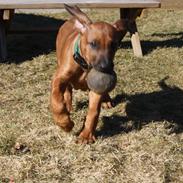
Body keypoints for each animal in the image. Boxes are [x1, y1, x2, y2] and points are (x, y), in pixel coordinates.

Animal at [50, 4, 127, 144]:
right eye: (93, 44)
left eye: (114, 45)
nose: (106, 67)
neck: (85, 66)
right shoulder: (58, 78)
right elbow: (56, 100)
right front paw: (64, 122)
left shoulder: (96, 89)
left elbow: (93, 111)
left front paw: (86, 135)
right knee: (67, 90)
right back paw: (68, 105)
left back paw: (106, 100)